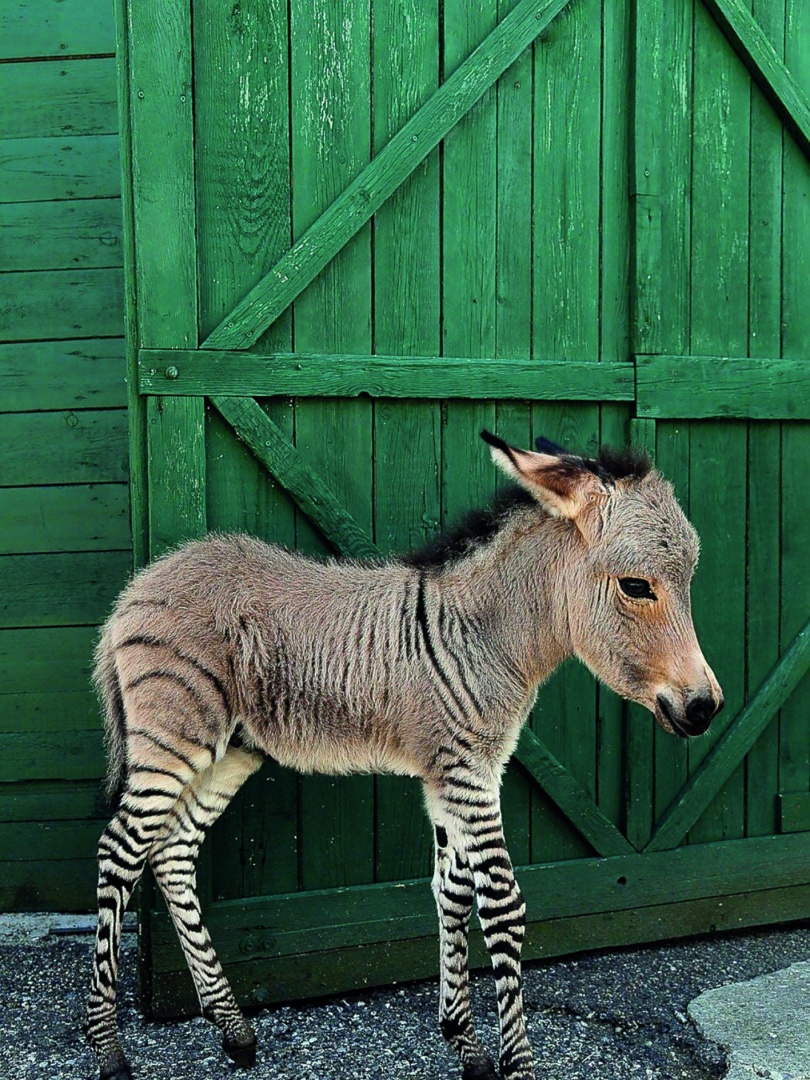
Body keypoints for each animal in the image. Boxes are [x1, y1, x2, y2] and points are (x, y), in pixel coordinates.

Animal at [87, 432, 721, 1080]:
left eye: (688, 580)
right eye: (636, 587)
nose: (706, 709)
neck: (484, 635)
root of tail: (139, 586)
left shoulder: (456, 774)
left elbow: (452, 891)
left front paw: (463, 1041)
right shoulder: (467, 770)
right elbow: (502, 904)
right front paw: (516, 1062)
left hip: (229, 751)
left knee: (172, 854)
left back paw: (233, 1030)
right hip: (173, 739)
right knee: (120, 851)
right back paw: (108, 1048)